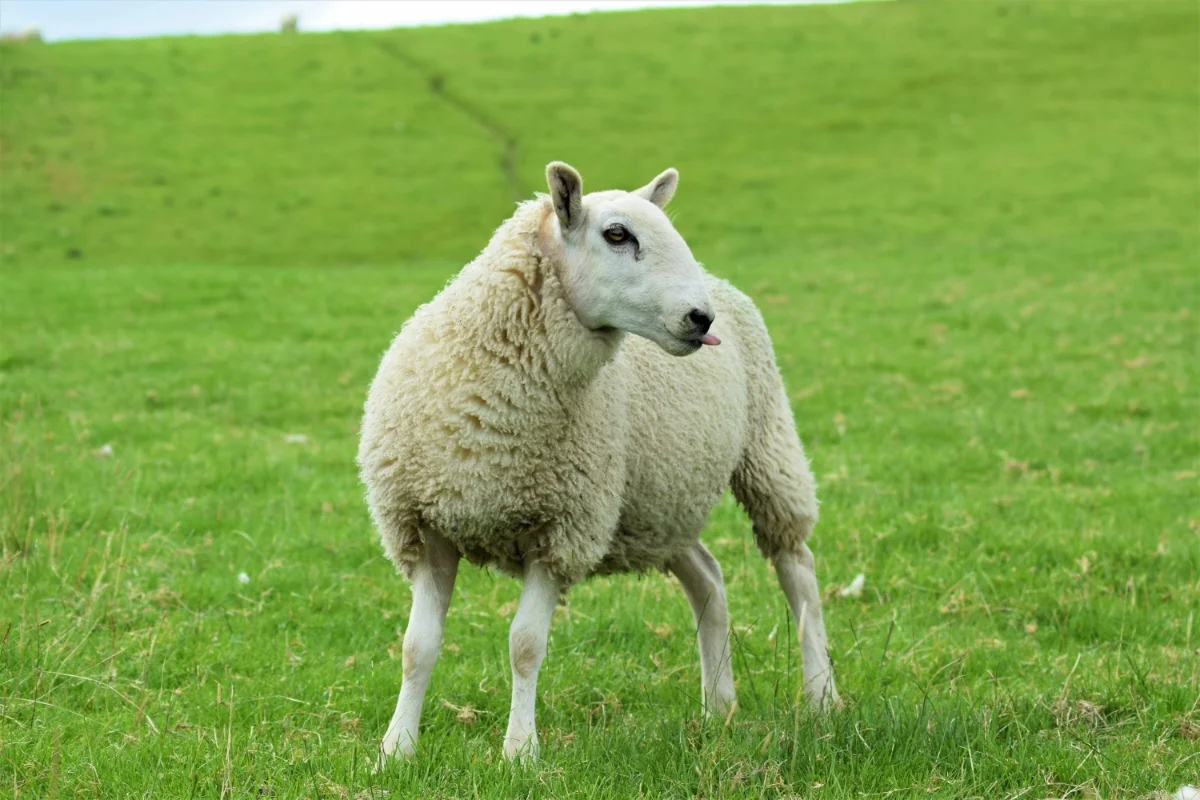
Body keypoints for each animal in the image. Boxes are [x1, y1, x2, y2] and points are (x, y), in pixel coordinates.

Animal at [358, 162, 839, 763]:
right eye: (616, 234)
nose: (700, 317)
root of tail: (723, 284)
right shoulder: (424, 527)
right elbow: (416, 647)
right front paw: (395, 750)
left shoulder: (562, 529)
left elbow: (524, 645)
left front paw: (519, 753)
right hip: (659, 502)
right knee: (707, 578)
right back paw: (719, 707)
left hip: (768, 446)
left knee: (797, 567)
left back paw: (821, 694)